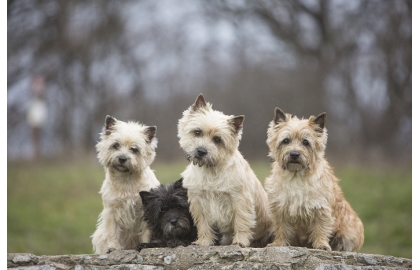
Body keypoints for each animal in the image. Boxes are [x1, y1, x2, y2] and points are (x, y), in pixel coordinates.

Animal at [92, 115, 161, 253]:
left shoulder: (145, 210)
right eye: (116, 145)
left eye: (134, 149)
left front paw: (145, 245)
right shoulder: (111, 210)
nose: (122, 158)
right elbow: (112, 231)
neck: (126, 180)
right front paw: (113, 248)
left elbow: (146, 232)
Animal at [176, 94, 272, 248]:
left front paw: (240, 241)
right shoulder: (199, 201)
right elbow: (203, 224)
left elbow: (241, 221)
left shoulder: (240, 199)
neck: (211, 170)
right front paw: (203, 242)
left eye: (217, 139)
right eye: (197, 132)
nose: (201, 151)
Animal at [266, 107, 364, 251]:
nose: (294, 154)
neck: (296, 175)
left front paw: (321, 245)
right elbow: (281, 227)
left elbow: (320, 227)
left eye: (305, 142)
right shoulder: (280, 207)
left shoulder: (321, 208)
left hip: (350, 232)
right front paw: (278, 243)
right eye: (286, 140)